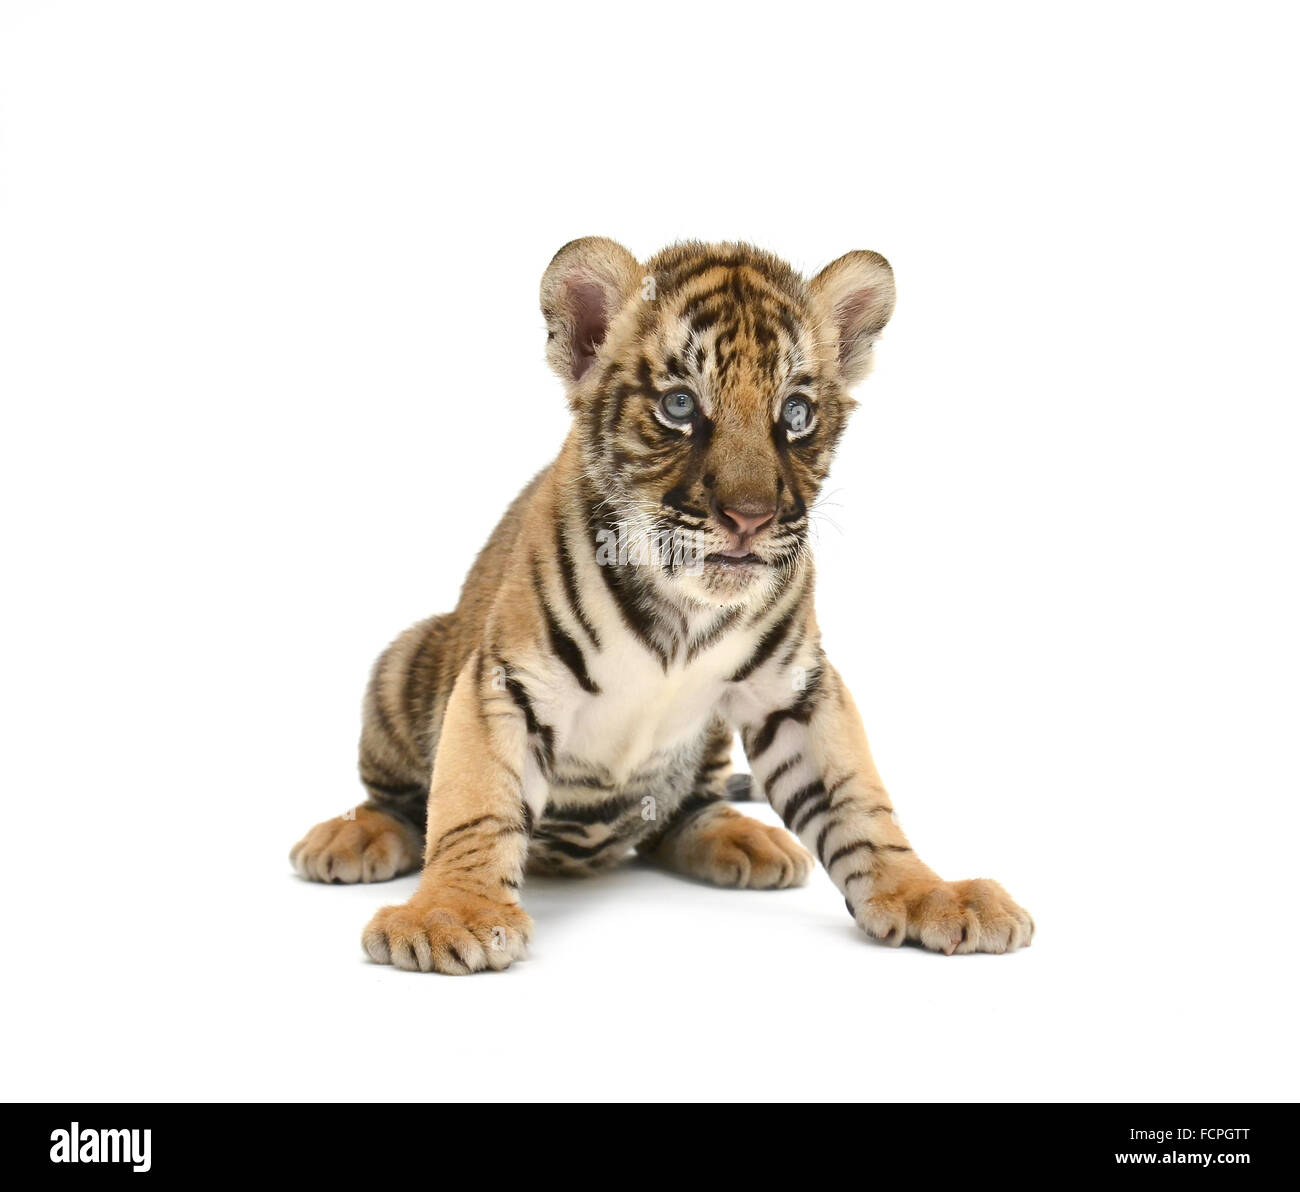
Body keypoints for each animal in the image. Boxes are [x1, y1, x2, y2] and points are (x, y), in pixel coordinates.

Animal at [290, 237, 1034, 973]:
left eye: (796, 415)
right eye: (679, 406)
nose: (750, 518)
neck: (687, 610)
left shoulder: (794, 689)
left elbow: (860, 803)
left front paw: (931, 894)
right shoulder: (507, 681)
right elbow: (475, 800)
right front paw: (452, 913)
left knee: (683, 814)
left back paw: (742, 840)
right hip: (405, 658)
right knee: (397, 800)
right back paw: (350, 839)